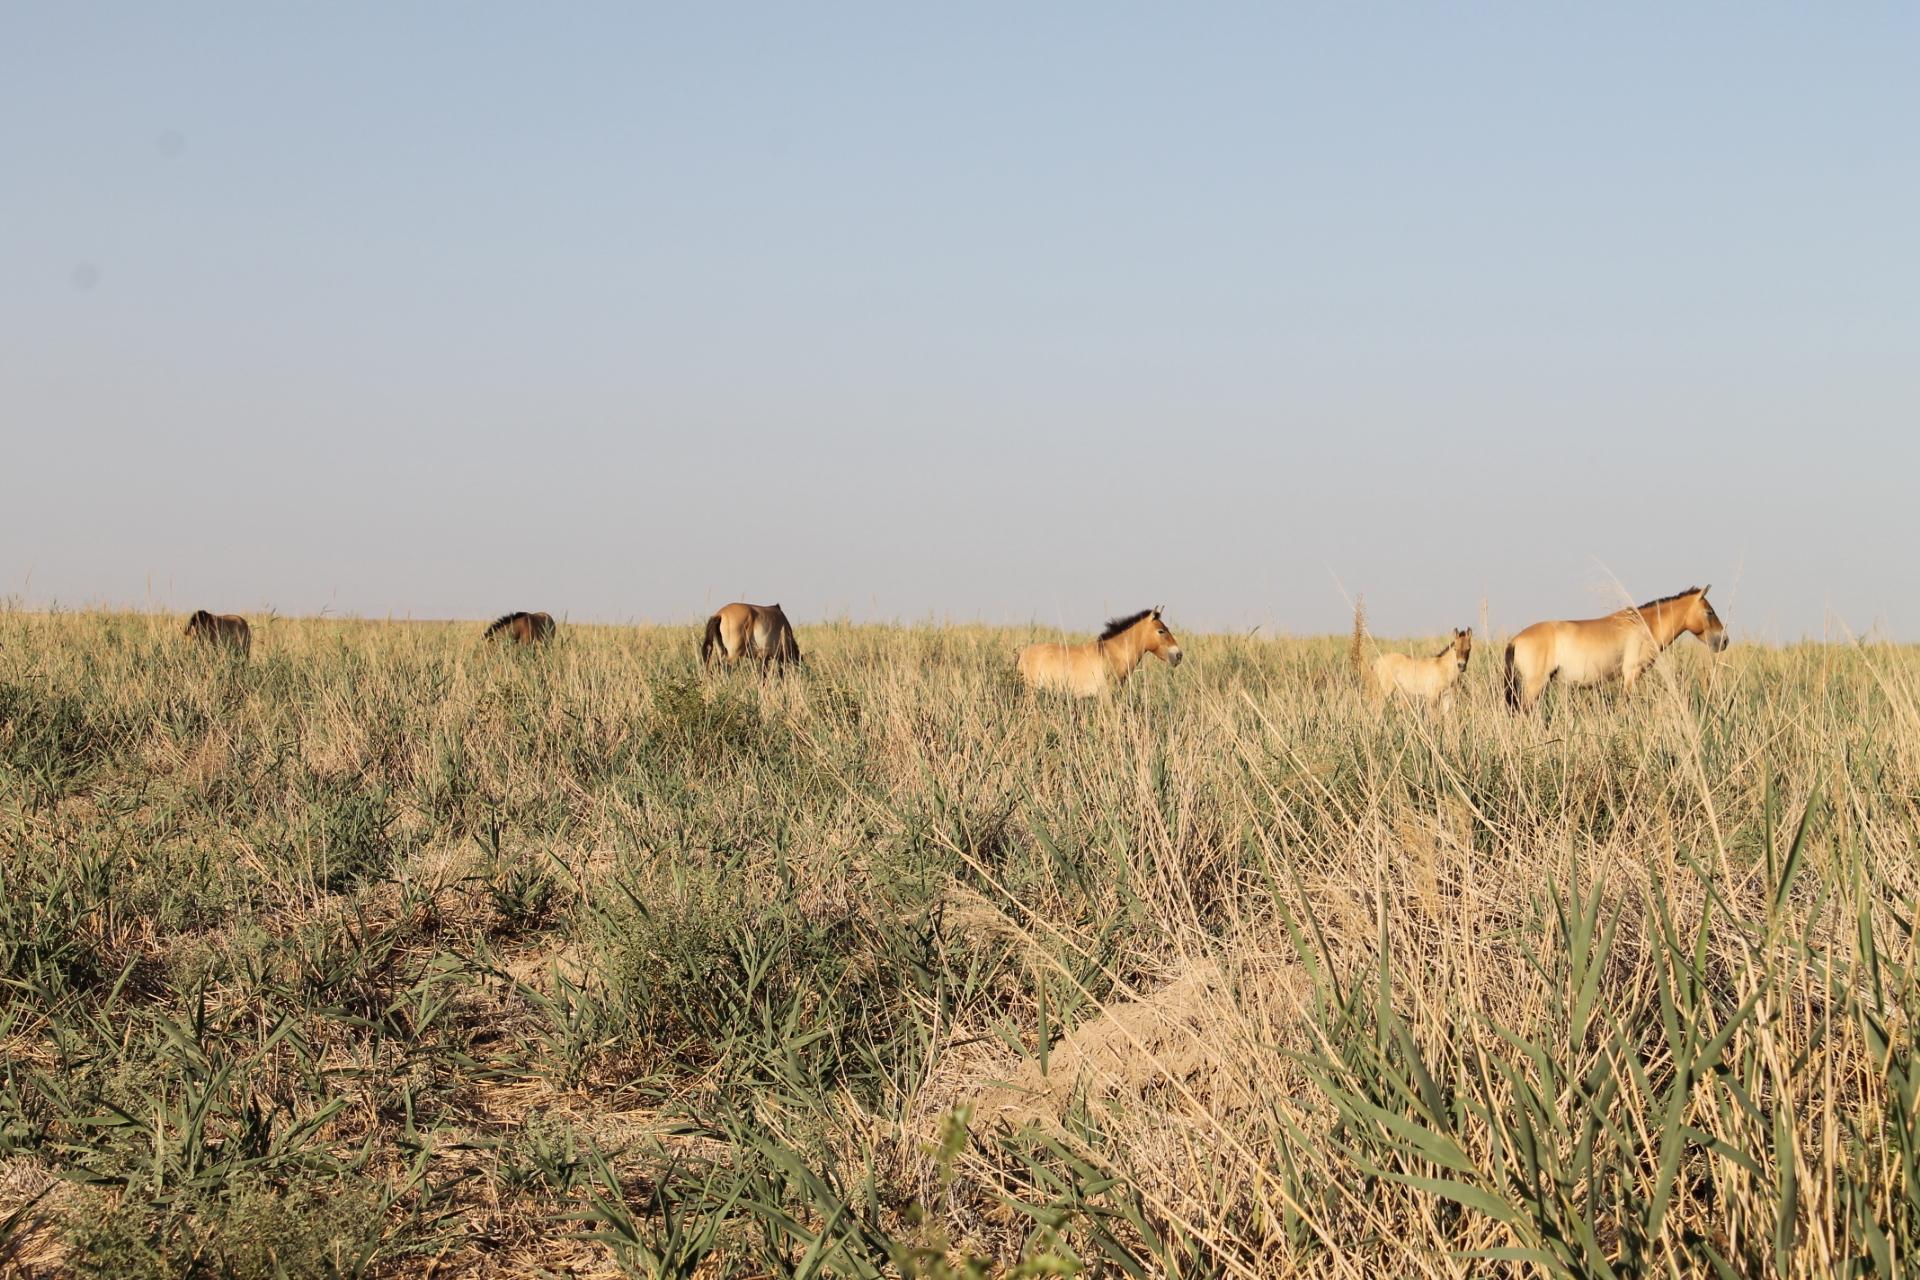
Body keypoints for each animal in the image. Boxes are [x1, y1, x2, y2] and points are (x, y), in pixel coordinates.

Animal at [1505, 587, 1735, 717]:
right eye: (1709, 612)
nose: (1724, 641)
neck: (1645, 625)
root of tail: (1516, 639)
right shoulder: (1631, 673)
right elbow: (1625, 706)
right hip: (1535, 686)